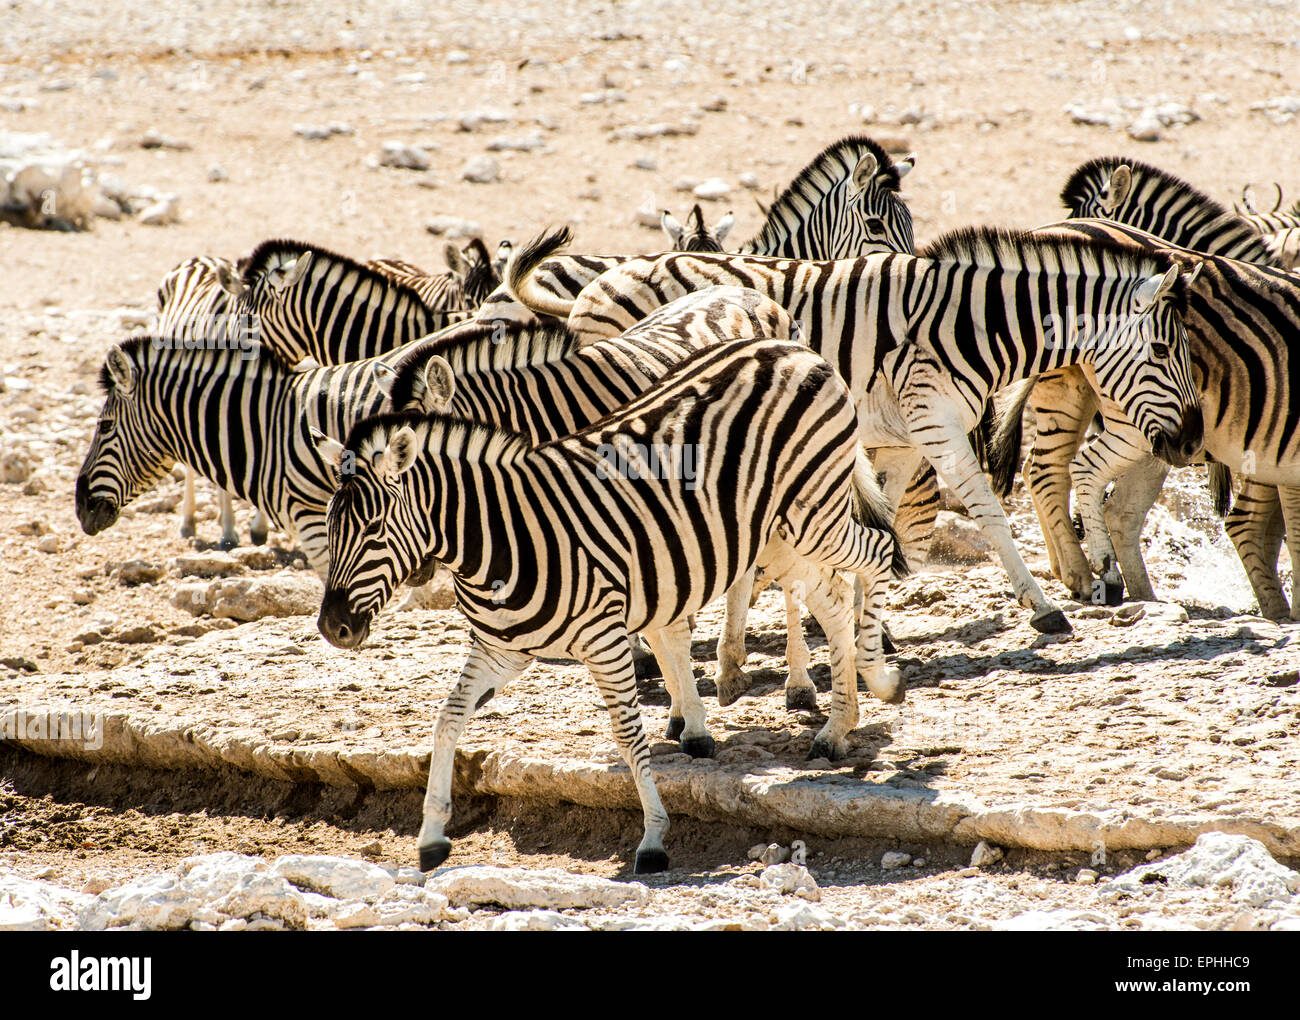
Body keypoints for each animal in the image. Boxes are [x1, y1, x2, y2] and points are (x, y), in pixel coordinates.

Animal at [314, 337, 906, 873]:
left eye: (373, 527)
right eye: (331, 525)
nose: (332, 628)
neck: (500, 540)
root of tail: (790, 347)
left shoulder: (603, 638)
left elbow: (626, 734)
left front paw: (653, 838)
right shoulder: (502, 649)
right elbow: (447, 718)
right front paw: (432, 835)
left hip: (812, 514)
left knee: (877, 553)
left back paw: (880, 677)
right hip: (779, 532)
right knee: (832, 600)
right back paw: (836, 729)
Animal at [512, 225, 1204, 635]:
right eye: (1164, 350)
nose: (1193, 441)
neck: (973, 326)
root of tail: (596, 284)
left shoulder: (899, 440)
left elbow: (888, 525)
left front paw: (874, 624)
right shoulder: (936, 424)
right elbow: (988, 512)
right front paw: (1044, 608)